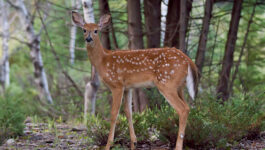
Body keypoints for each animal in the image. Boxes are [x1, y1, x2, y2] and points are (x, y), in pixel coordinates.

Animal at [71, 11, 197, 149]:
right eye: (84, 30)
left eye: (96, 31)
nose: (88, 39)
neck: (103, 61)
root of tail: (188, 60)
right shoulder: (128, 88)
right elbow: (129, 112)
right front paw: (134, 142)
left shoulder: (117, 85)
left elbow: (114, 113)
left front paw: (108, 145)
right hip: (179, 87)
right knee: (187, 107)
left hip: (166, 83)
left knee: (183, 109)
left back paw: (178, 146)